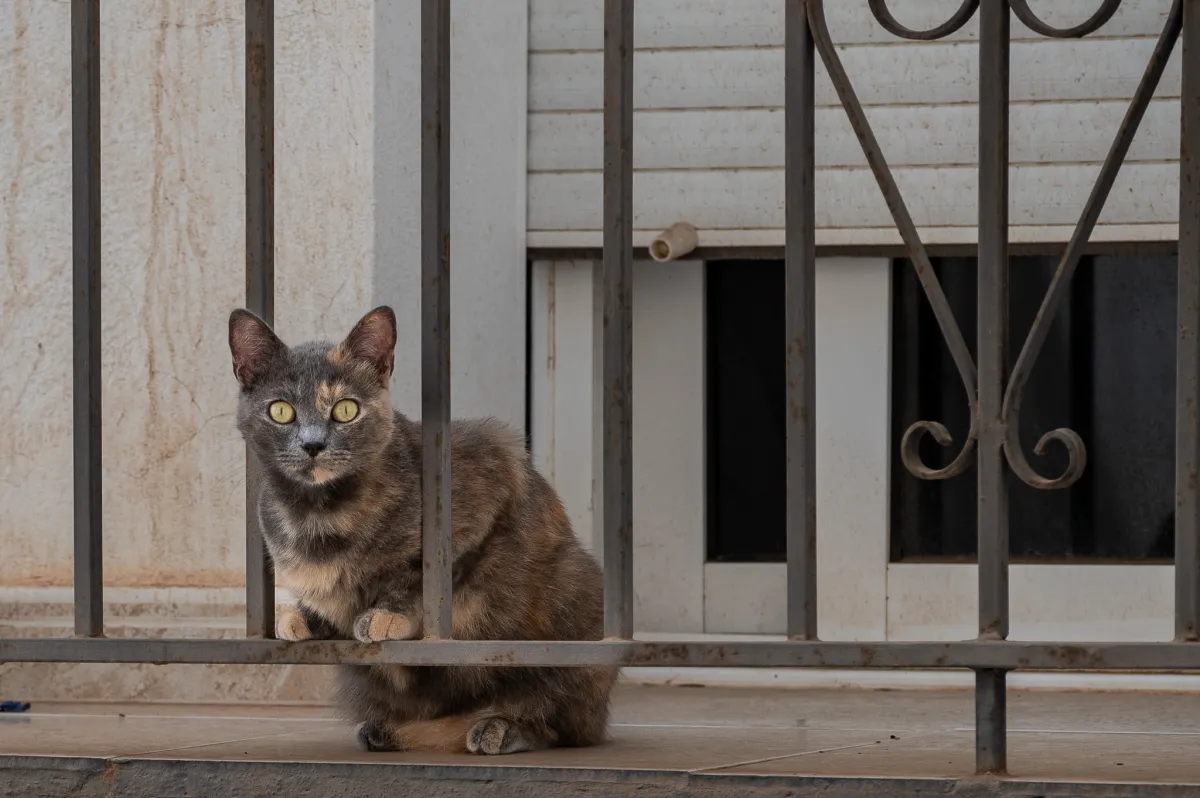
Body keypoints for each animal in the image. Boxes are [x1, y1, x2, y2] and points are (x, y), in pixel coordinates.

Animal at [226, 304, 619, 753]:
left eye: (345, 409)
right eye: (281, 411)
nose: (313, 445)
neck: (317, 517)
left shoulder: (490, 475)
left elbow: (420, 578)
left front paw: (384, 614)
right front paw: (302, 615)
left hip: (571, 611)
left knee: (558, 720)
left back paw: (499, 728)